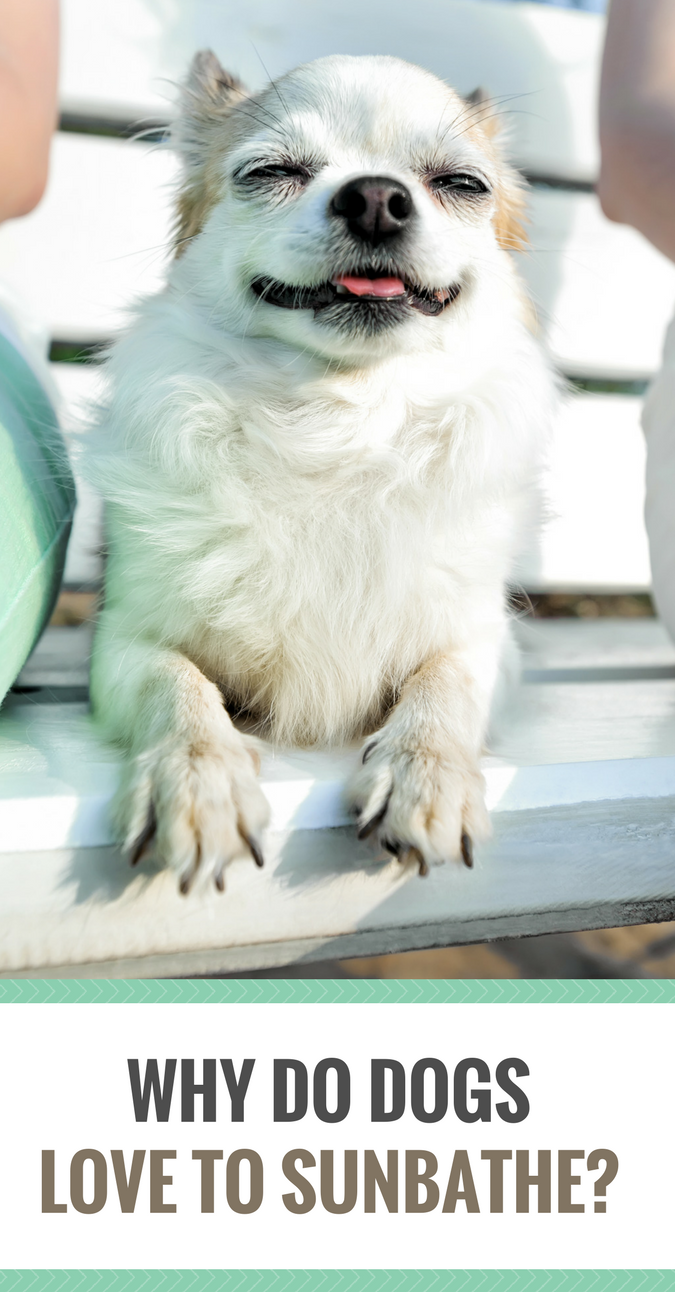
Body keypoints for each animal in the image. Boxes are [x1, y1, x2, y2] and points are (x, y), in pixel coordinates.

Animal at [86, 52, 553, 899]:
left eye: (461, 184)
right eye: (270, 172)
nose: (374, 197)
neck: (336, 419)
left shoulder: (481, 641)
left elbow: (446, 684)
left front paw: (424, 771)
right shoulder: (123, 640)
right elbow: (175, 683)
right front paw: (195, 775)